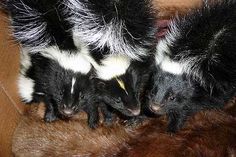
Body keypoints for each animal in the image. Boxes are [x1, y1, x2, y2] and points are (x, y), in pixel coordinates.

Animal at [148, 0, 236, 132]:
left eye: (172, 97)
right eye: (153, 90)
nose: (155, 107)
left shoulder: (196, 92)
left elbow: (184, 109)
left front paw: (172, 128)